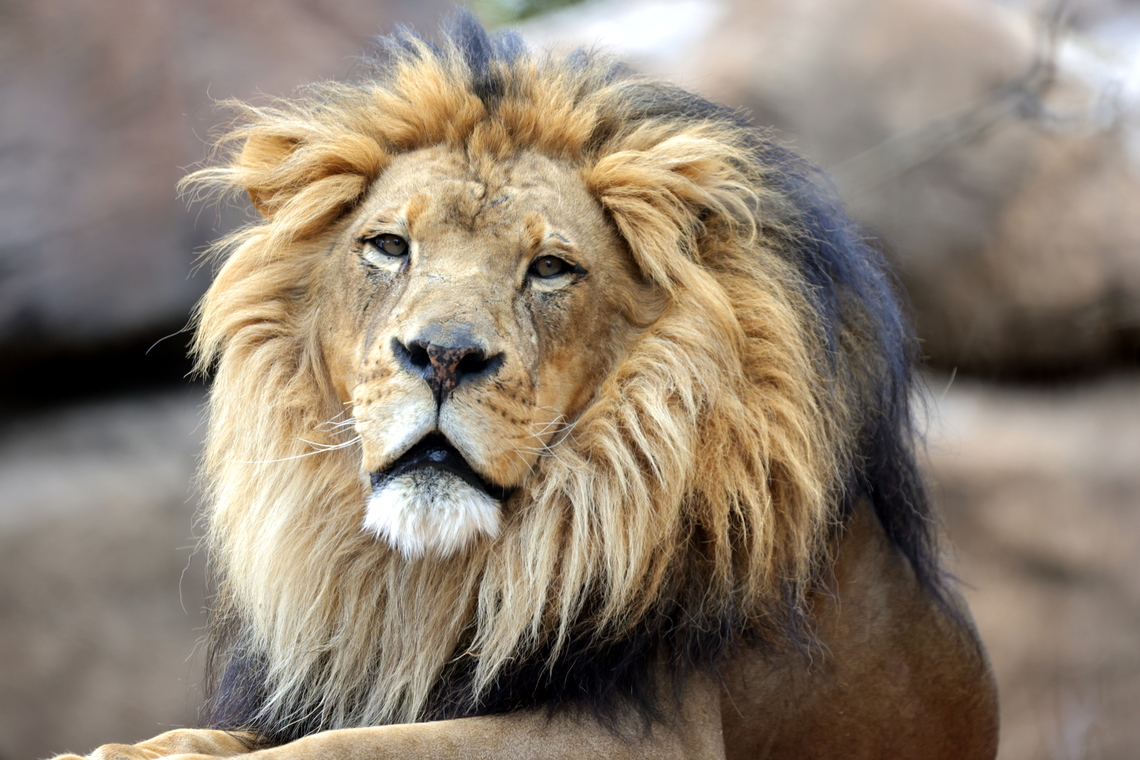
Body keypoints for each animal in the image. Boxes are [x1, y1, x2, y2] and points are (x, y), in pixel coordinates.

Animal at [61, 12, 998, 760]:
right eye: (390, 246)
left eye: (549, 268)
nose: (442, 357)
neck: (432, 584)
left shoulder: (647, 732)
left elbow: (362, 746)